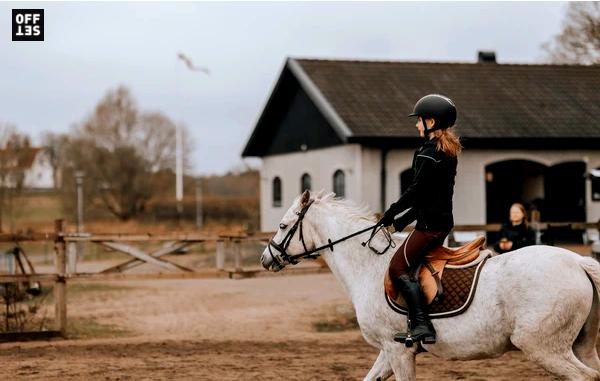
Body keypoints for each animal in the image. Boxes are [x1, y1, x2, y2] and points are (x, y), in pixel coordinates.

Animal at [262, 191, 600, 380]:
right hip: (579, 345)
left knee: (586, 377)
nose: (266, 258)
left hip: (544, 348)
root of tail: (577, 262)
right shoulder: (388, 351)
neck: (368, 266)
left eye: (282, 225)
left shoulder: (398, 352)